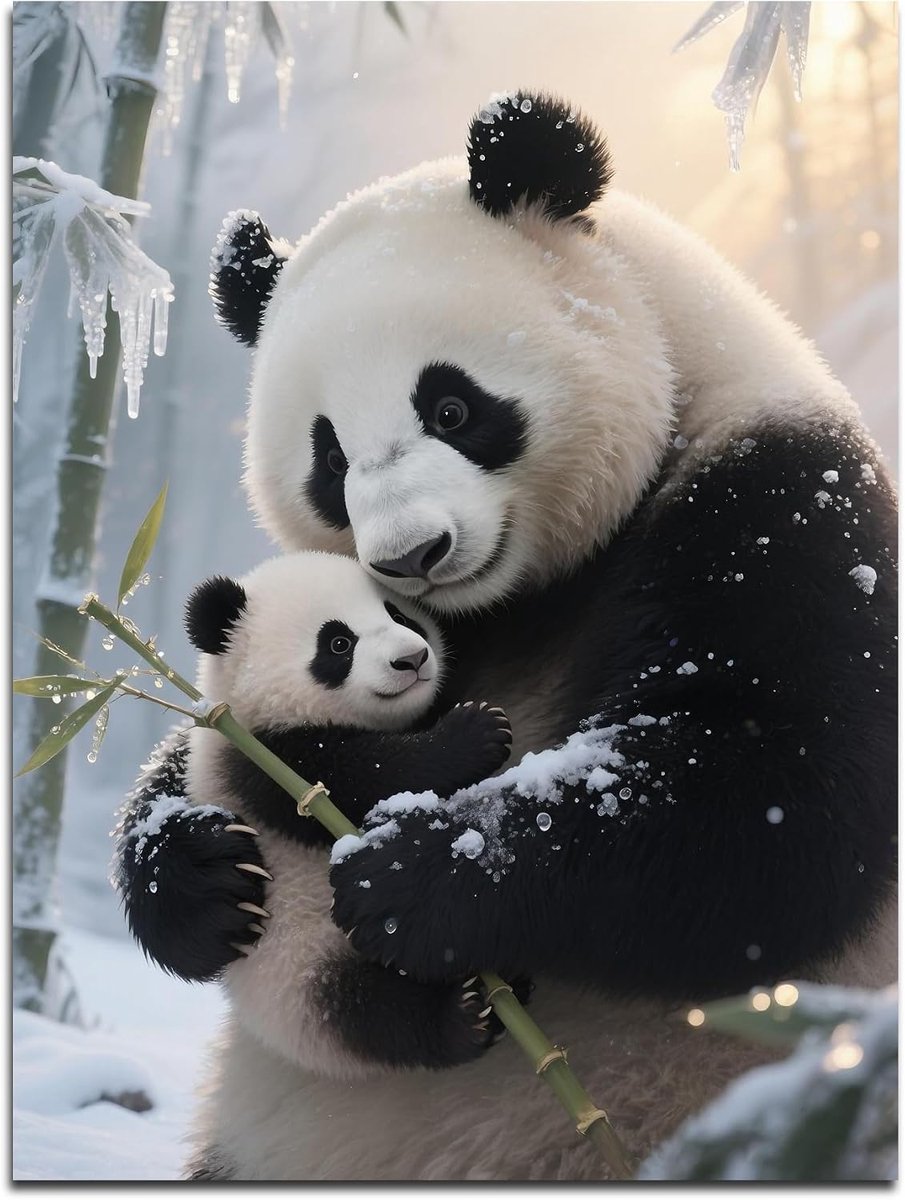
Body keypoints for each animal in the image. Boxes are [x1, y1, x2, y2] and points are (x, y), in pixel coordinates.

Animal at [114, 91, 897, 1180]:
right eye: (329, 458)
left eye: (451, 405)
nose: (412, 554)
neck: (527, 592)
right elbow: (237, 729)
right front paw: (190, 875)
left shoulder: (775, 497)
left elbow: (786, 801)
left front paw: (416, 874)